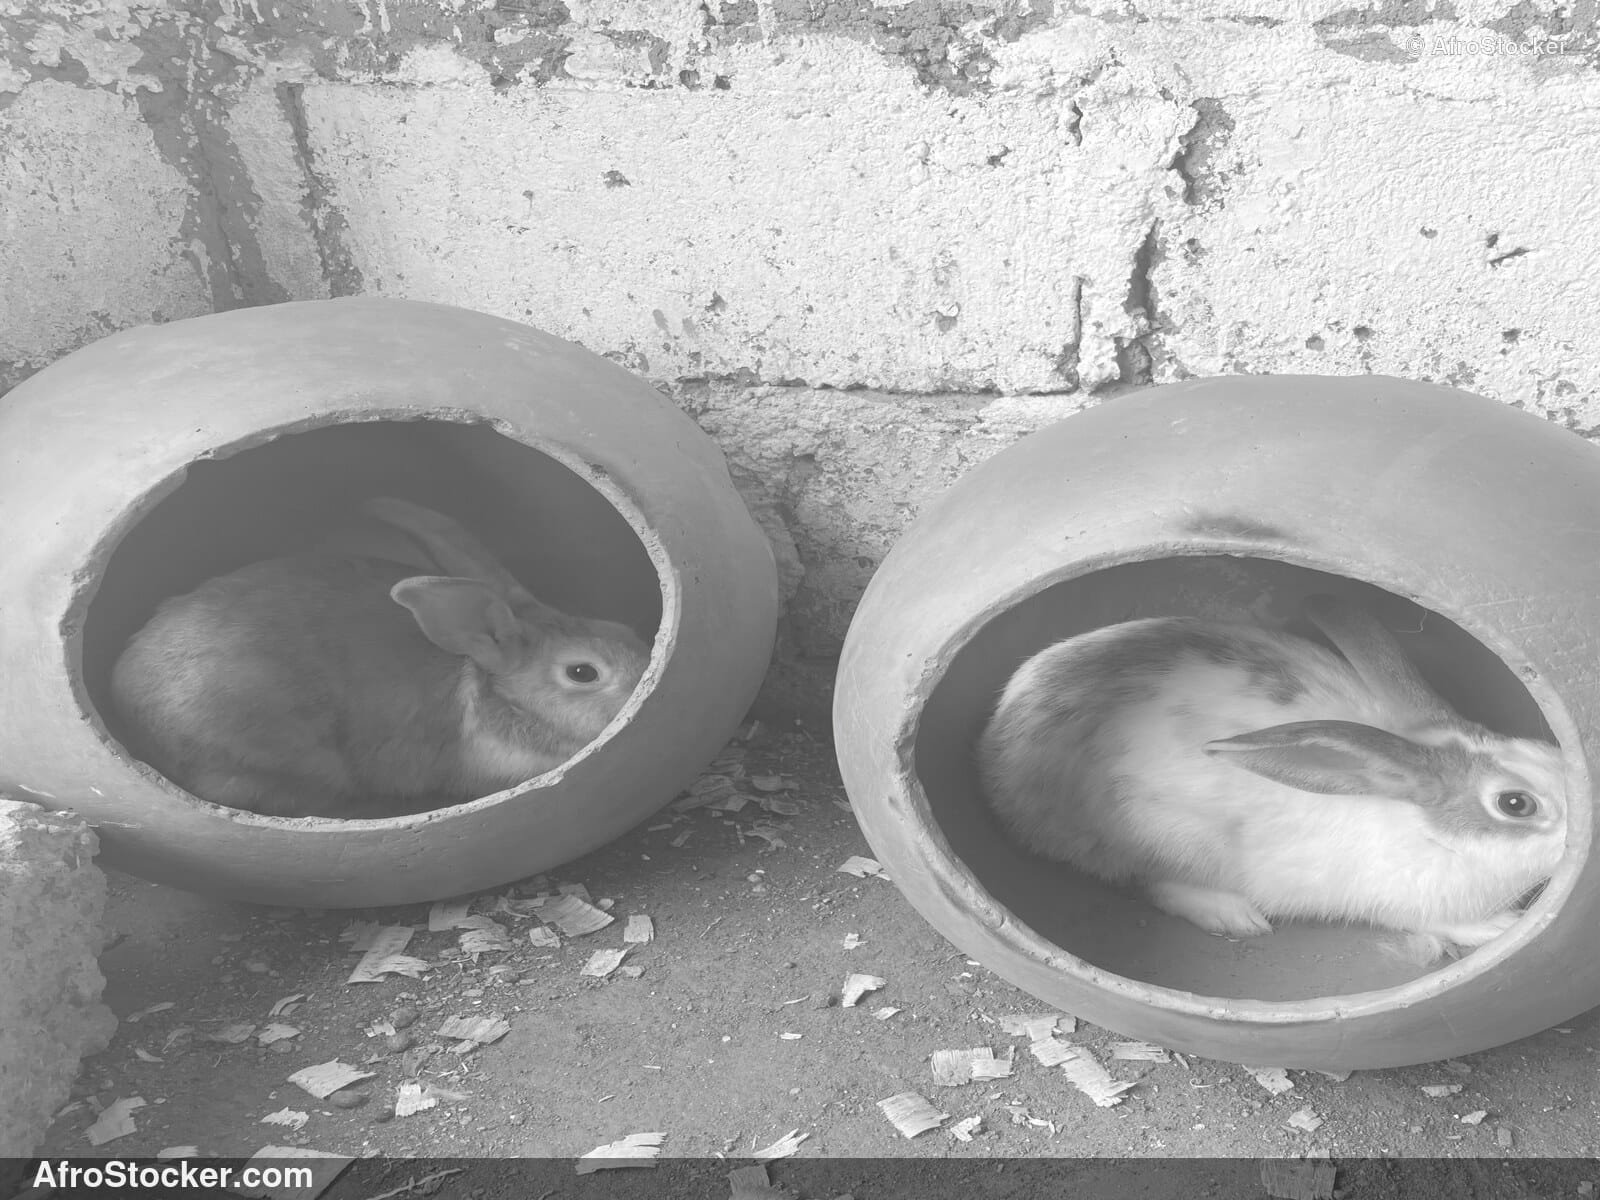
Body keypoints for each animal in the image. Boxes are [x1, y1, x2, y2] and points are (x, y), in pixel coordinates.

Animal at [976, 594, 1569, 962]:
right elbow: (1437, 921)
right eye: (1515, 804)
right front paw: (1499, 928)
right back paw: (1233, 915)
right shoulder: (1396, 899)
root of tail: (1000, 754)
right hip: (1169, 835)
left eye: (1547, 750)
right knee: (1154, 883)